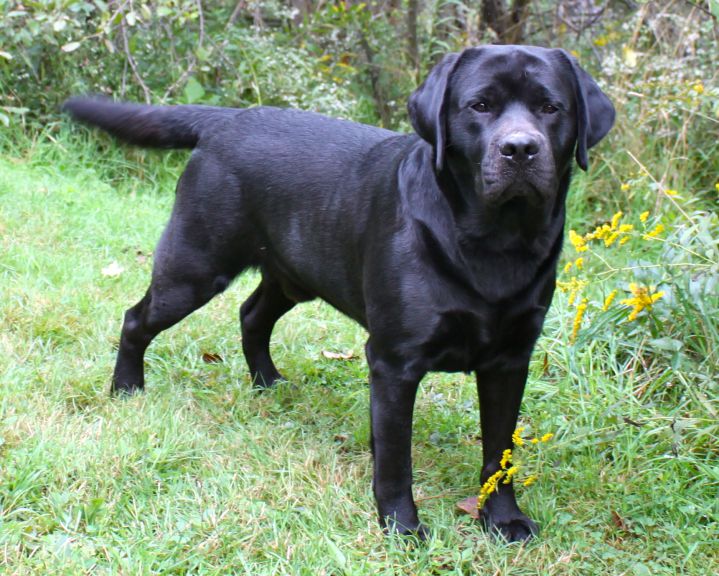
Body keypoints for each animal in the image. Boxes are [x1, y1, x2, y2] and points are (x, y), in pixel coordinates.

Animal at [64, 46, 612, 544]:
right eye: (479, 106)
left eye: (550, 107)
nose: (520, 148)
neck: (496, 242)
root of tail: (227, 118)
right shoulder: (394, 361)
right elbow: (395, 460)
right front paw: (402, 527)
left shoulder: (510, 361)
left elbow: (500, 453)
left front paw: (503, 519)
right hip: (193, 268)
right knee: (137, 318)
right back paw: (127, 388)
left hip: (292, 275)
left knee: (251, 315)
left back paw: (267, 381)